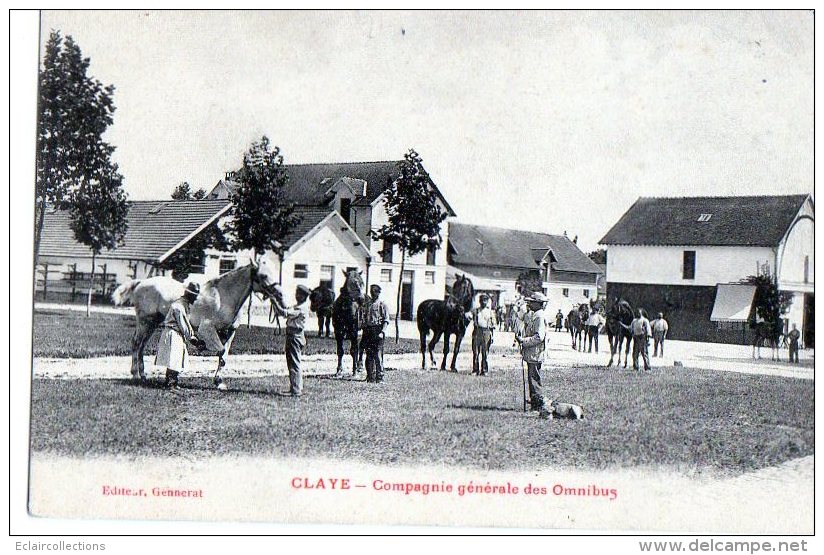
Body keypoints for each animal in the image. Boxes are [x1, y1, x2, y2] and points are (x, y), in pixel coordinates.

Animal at [112, 258, 284, 388]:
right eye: (263, 275)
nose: (280, 296)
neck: (224, 297)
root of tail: (141, 282)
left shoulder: (230, 332)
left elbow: (224, 356)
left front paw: (219, 382)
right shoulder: (207, 329)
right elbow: (219, 351)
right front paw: (202, 349)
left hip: (152, 323)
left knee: (141, 346)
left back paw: (143, 375)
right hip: (145, 322)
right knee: (136, 343)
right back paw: (135, 375)